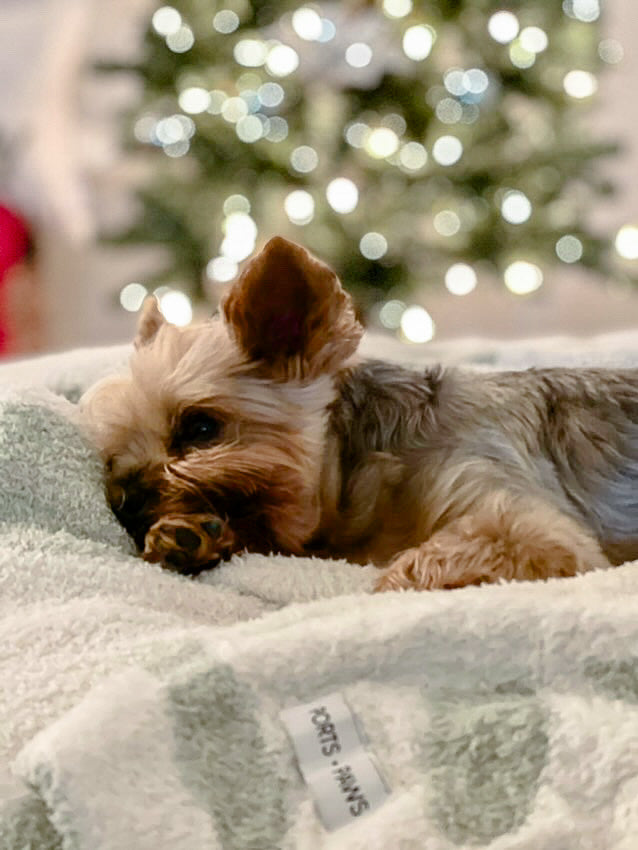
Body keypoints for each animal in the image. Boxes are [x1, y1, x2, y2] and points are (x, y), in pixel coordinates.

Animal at [81, 234, 638, 588]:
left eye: (200, 427)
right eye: (113, 455)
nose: (122, 499)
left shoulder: (525, 523)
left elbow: (425, 565)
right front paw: (189, 538)